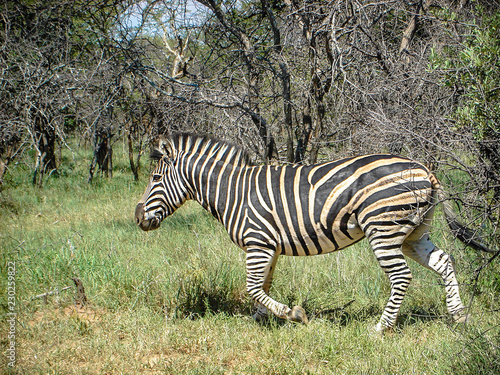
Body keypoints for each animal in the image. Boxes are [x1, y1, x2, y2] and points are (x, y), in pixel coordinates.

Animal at [134, 132, 496, 332]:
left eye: (155, 179)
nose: (138, 217)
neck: (232, 191)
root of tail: (424, 168)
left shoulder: (257, 241)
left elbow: (253, 286)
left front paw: (293, 314)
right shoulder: (268, 246)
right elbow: (262, 285)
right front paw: (259, 320)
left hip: (383, 229)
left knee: (402, 277)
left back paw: (381, 328)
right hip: (414, 233)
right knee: (445, 262)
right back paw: (459, 317)